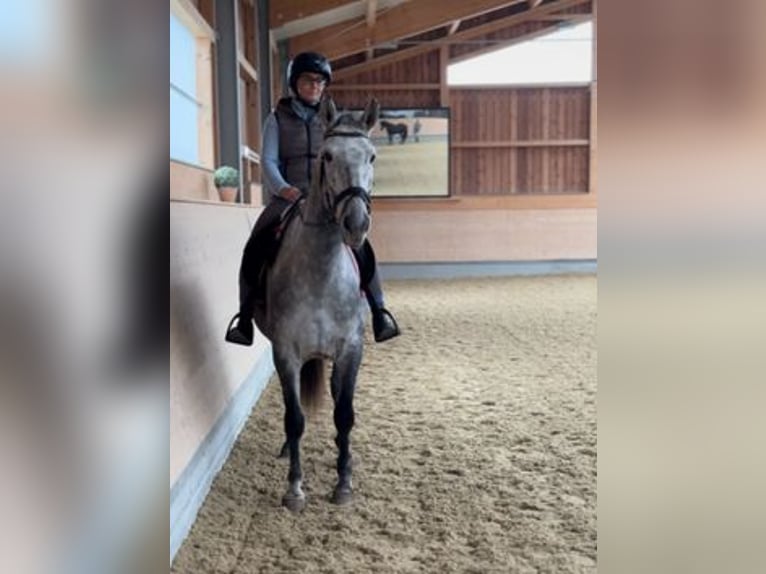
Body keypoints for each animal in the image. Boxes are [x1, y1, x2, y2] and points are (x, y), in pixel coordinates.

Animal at [255, 95, 380, 512]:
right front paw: (295, 489)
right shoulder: (286, 353)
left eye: (372, 156)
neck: (321, 273)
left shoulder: (351, 350)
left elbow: (344, 414)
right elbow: (294, 419)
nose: (355, 224)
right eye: (326, 156)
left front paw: (343, 482)